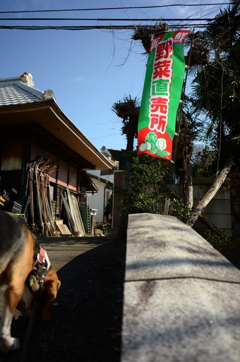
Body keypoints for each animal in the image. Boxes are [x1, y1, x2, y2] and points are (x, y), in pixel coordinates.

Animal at [0, 209, 60, 354]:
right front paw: (8, 343)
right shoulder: (15, 288)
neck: (37, 259)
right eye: (46, 297)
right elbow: (6, 323)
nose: (37, 317)